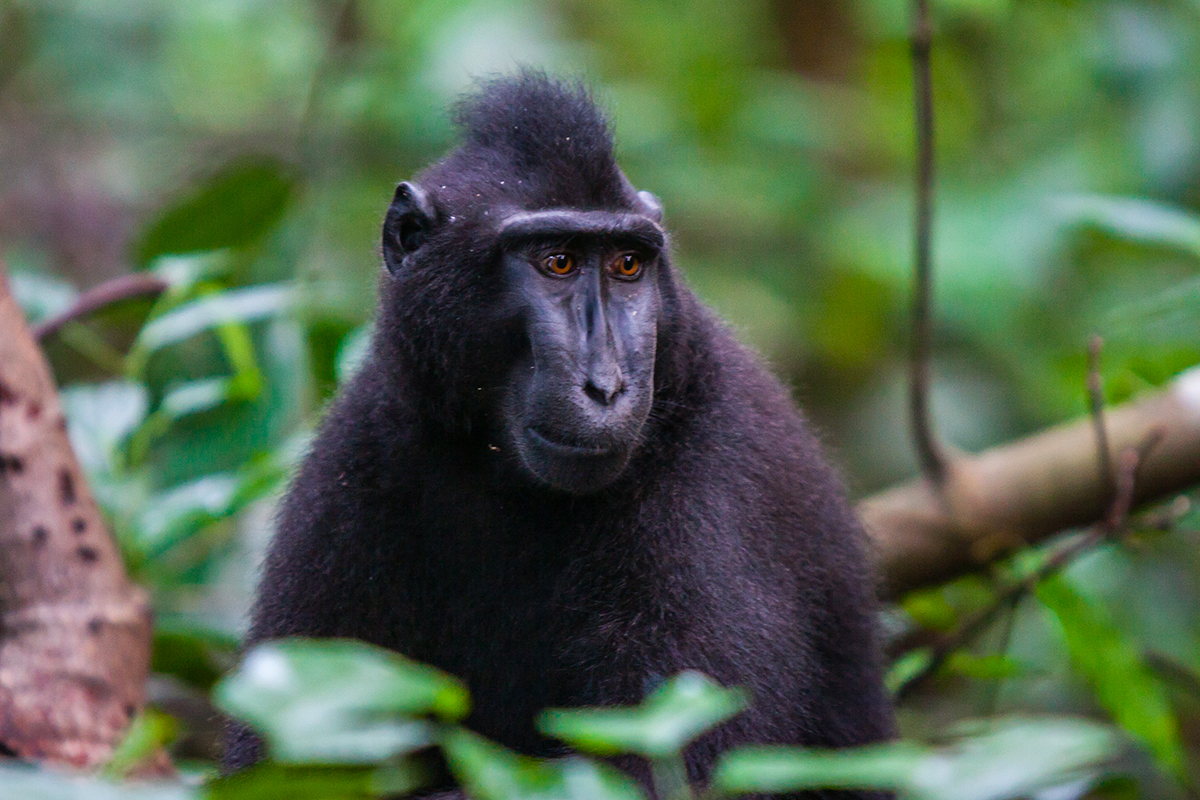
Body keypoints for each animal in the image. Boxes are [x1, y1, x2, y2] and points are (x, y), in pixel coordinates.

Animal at [225, 72, 894, 797]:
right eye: (559, 262)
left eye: (628, 265)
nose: (605, 386)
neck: (505, 479)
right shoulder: (358, 459)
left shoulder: (707, 491)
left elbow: (655, 765)